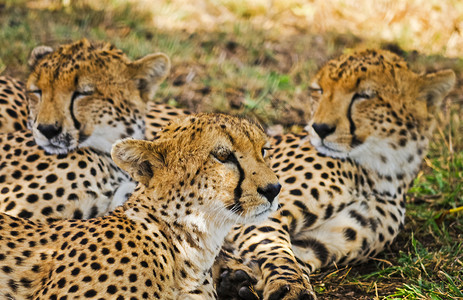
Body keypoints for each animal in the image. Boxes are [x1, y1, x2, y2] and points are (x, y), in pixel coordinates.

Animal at [217, 50, 456, 298]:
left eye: (364, 95)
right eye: (319, 91)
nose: (320, 128)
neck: (378, 173)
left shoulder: (321, 242)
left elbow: (293, 258)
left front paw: (234, 277)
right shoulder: (254, 212)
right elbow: (276, 251)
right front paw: (290, 288)